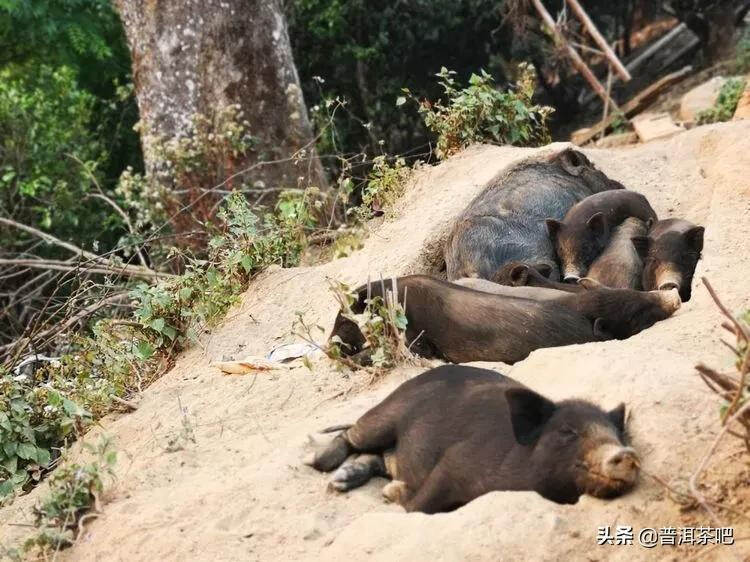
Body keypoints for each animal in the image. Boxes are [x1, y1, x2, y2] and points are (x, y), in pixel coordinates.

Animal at [306, 364, 640, 512]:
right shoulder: (455, 463)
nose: (628, 454)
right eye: (567, 431)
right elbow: (418, 504)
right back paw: (318, 465)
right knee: (352, 435)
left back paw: (342, 480)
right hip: (386, 413)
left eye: (615, 433)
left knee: (376, 457)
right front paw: (391, 493)